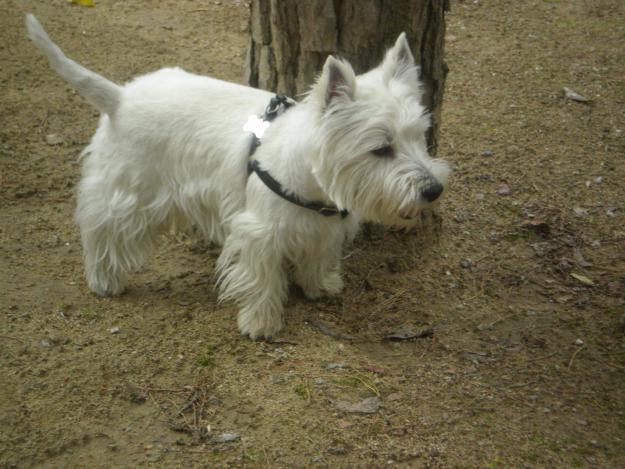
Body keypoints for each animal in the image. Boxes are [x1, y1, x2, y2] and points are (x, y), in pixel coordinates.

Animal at [28, 13, 448, 336]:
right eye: (381, 149)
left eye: (420, 136)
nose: (434, 190)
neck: (312, 181)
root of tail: (120, 97)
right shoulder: (259, 232)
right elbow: (262, 277)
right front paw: (260, 322)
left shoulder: (322, 227)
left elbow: (318, 257)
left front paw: (320, 286)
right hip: (128, 189)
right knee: (102, 227)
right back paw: (104, 279)